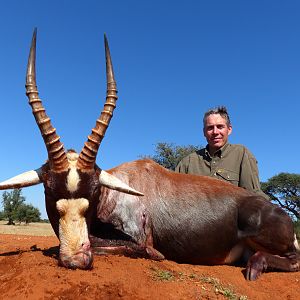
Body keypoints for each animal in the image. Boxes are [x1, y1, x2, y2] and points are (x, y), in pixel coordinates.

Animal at [0, 29, 298, 280]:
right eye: (49, 190)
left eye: (94, 191)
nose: (76, 260)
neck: (114, 192)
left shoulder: (140, 242)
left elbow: (127, 248)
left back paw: (256, 266)